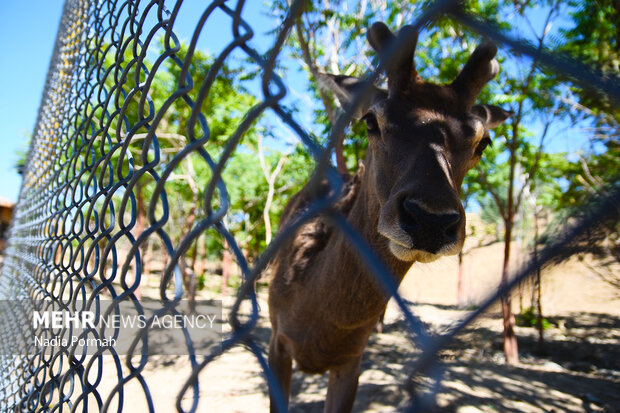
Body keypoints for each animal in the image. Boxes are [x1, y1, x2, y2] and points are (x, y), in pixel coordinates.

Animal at [266, 21, 508, 412]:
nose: (430, 220)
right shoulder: (277, 340)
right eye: (371, 120)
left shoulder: (352, 359)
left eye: (482, 142)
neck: (317, 324)